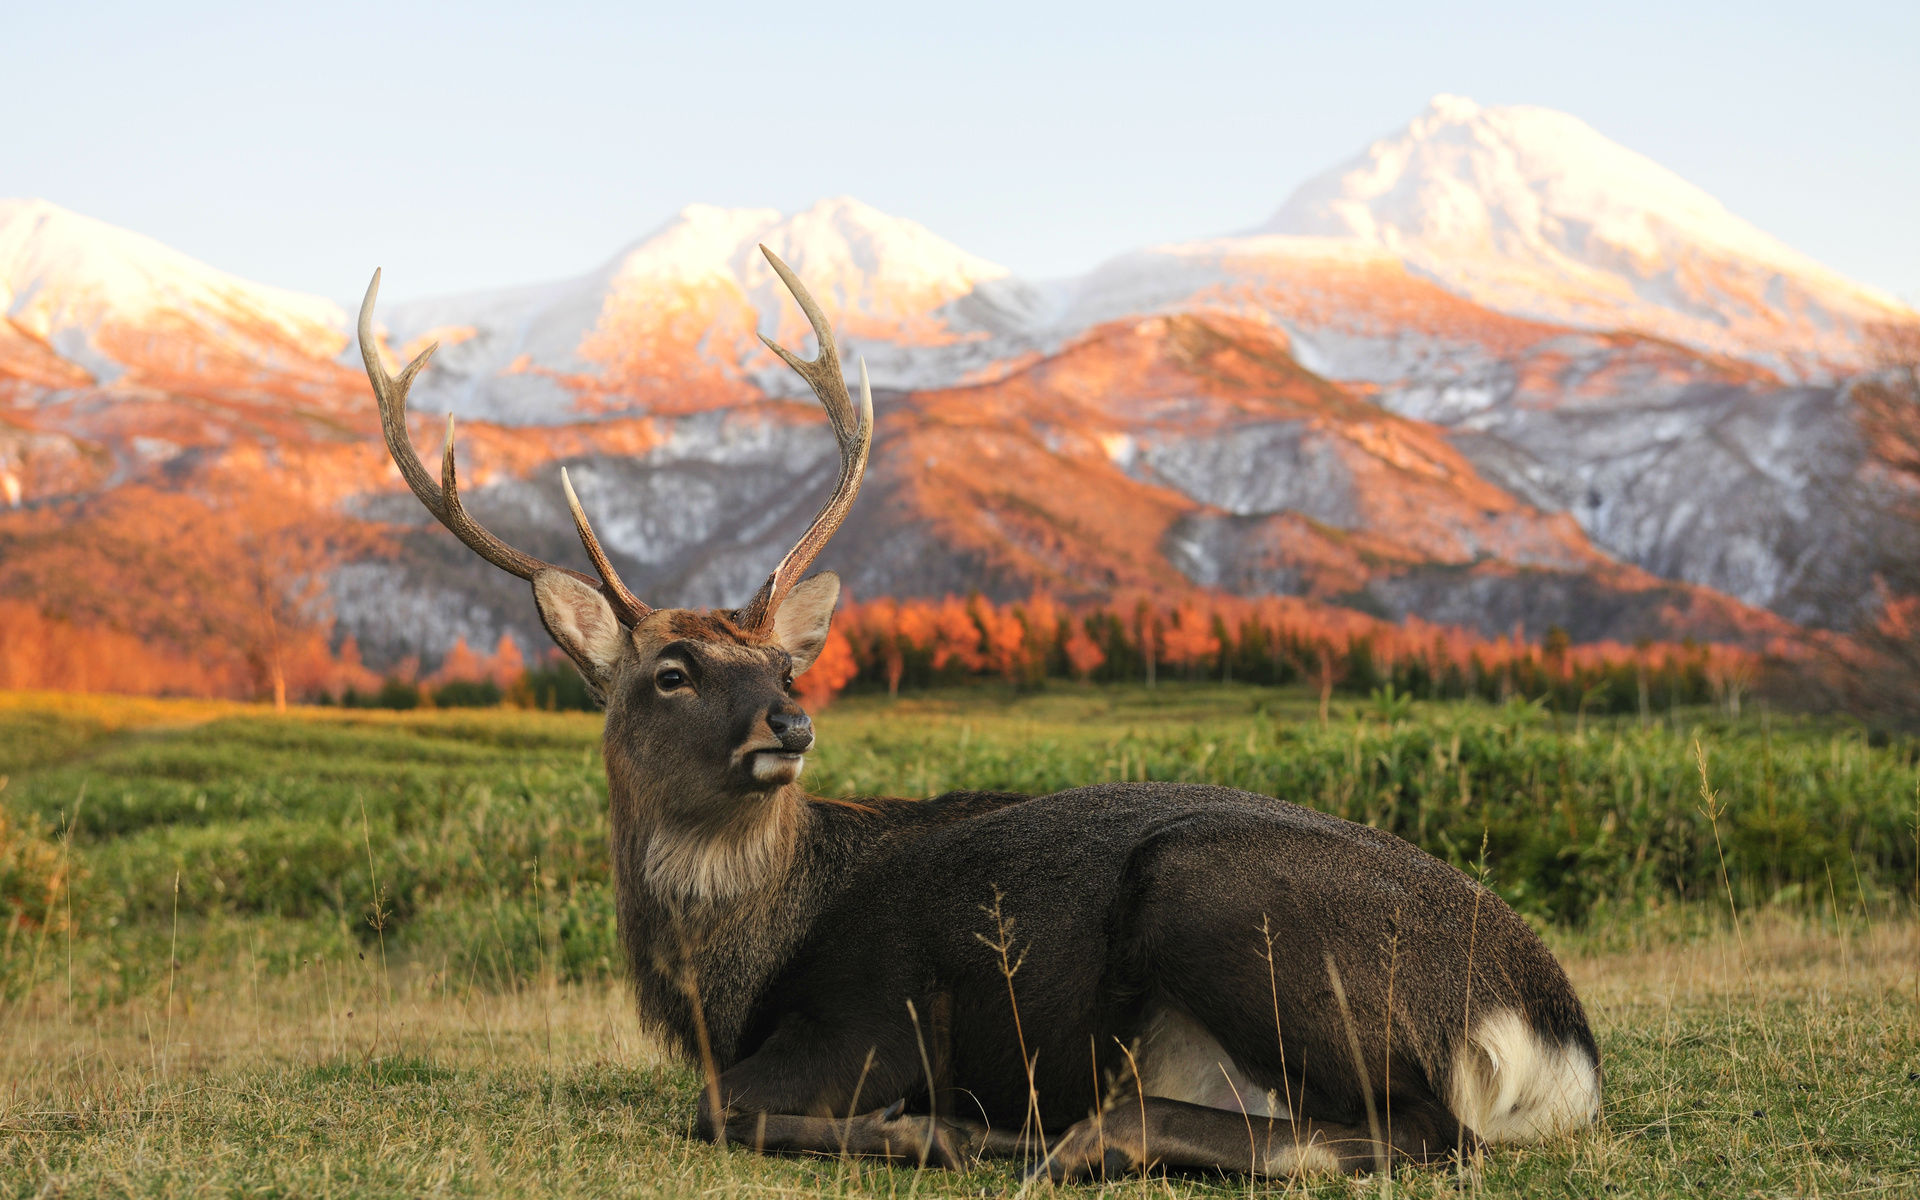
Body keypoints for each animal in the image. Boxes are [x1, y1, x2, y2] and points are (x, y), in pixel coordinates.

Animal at [353, 253, 1597, 1182]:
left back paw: (1057, 1136)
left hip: (1221, 899)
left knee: (1423, 1133)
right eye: (670, 670)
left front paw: (928, 1129)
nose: (787, 724)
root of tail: (1554, 1037)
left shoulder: (869, 1018)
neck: (730, 976)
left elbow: (715, 1110)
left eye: (781, 662)